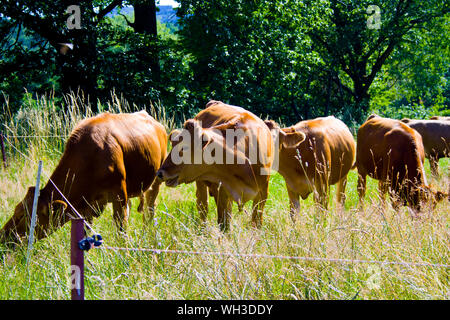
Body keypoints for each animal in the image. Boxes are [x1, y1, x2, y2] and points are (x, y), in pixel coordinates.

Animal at [0, 111, 167, 244]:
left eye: (22, 215)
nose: (3, 236)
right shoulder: (86, 207)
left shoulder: (119, 196)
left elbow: (121, 228)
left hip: (157, 180)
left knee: (150, 208)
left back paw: (147, 233)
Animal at [156, 100, 306, 230]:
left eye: (185, 147)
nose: (160, 173)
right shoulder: (224, 192)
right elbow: (224, 225)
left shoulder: (263, 192)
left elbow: (256, 222)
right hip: (200, 183)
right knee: (203, 207)